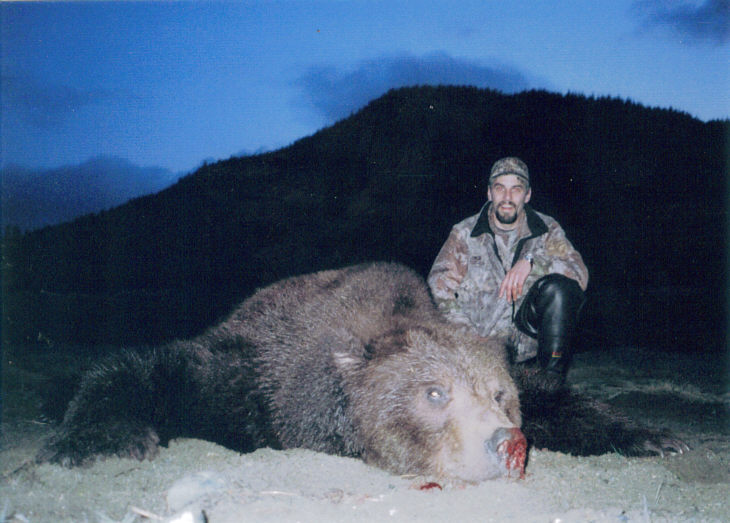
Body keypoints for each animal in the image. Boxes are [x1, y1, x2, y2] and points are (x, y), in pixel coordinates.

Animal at [38, 262, 685, 482]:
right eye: (434, 393)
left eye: (500, 396)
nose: (508, 444)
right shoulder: (251, 374)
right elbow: (150, 367)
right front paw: (94, 439)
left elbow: (557, 397)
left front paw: (654, 436)